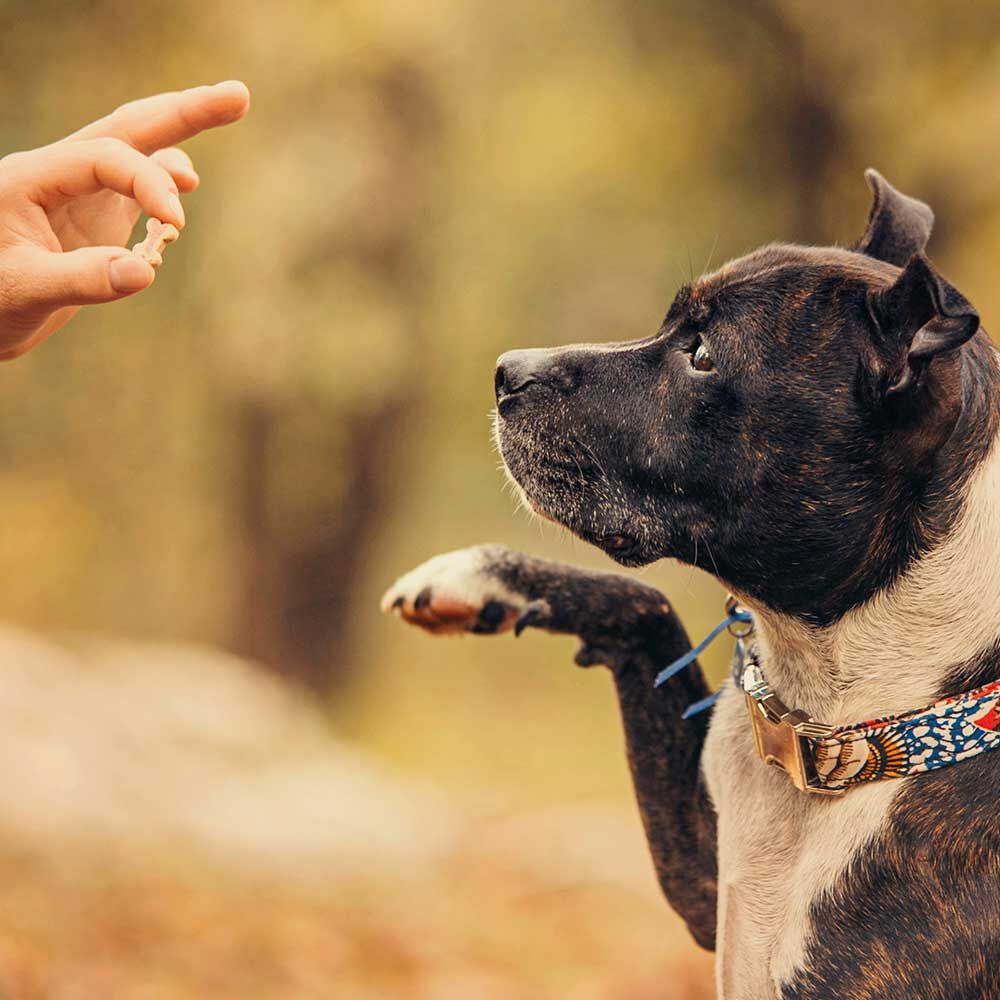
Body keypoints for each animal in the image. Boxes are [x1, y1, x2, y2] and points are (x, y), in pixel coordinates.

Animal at [380, 168, 1000, 996]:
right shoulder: (707, 880)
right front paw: (478, 576)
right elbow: (647, 605)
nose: (508, 371)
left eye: (702, 354)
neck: (834, 722)